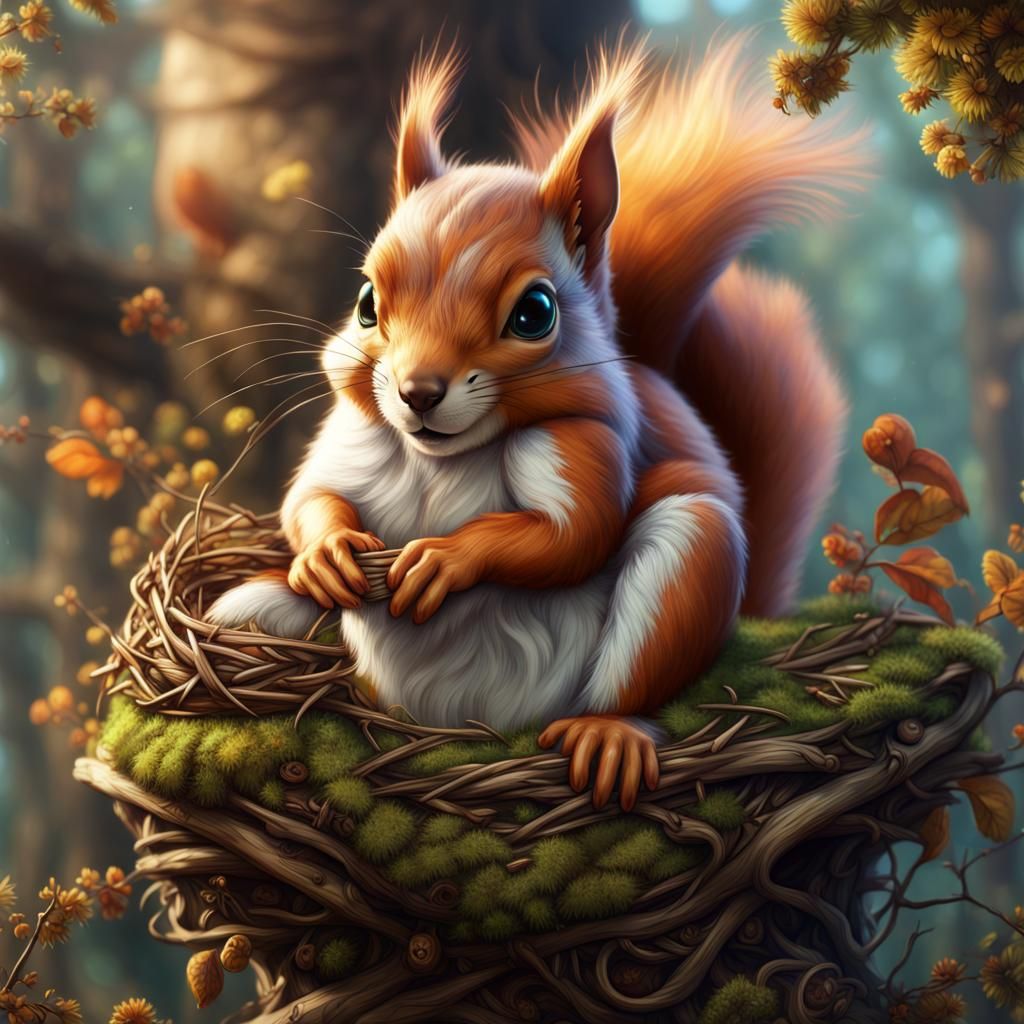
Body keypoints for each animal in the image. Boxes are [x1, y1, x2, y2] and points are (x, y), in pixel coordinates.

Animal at [209, 38, 865, 810]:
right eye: (367, 302)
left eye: (535, 314)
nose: (416, 392)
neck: (443, 459)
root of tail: (465, 725)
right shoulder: (353, 436)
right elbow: (307, 498)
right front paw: (328, 552)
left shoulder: (586, 444)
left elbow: (572, 536)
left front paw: (447, 558)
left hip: (687, 561)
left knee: (637, 673)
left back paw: (607, 735)